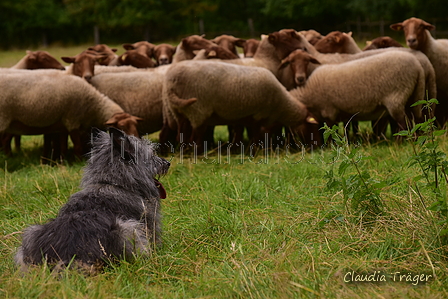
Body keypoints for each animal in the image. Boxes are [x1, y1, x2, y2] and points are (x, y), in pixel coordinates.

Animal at [0, 72, 140, 157]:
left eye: (135, 125)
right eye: (121, 127)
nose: (137, 142)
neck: (93, 105)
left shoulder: (63, 123)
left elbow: (63, 145)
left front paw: (63, 160)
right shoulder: (72, 119)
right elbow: (77, 145)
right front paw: (78, 160)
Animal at [14, 127, 170, 274]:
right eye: (152, 155)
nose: (167, 163)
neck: (112, 182)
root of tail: (64, 258)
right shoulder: (151, 222)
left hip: (30, 233)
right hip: (128, 228)